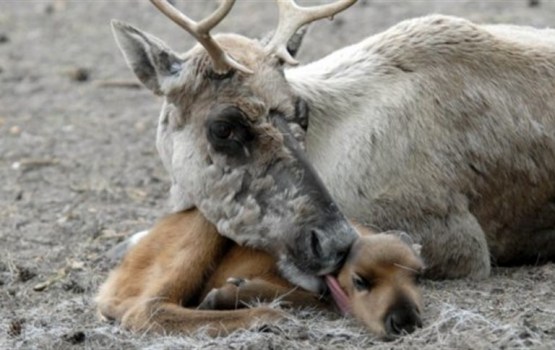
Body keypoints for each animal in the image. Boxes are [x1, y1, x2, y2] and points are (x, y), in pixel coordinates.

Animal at [96, 209, 426, 338]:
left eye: (418, 276)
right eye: (360, 280)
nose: (404, 320)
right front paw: (226, 295)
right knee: (147, 309)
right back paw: (267, 317)